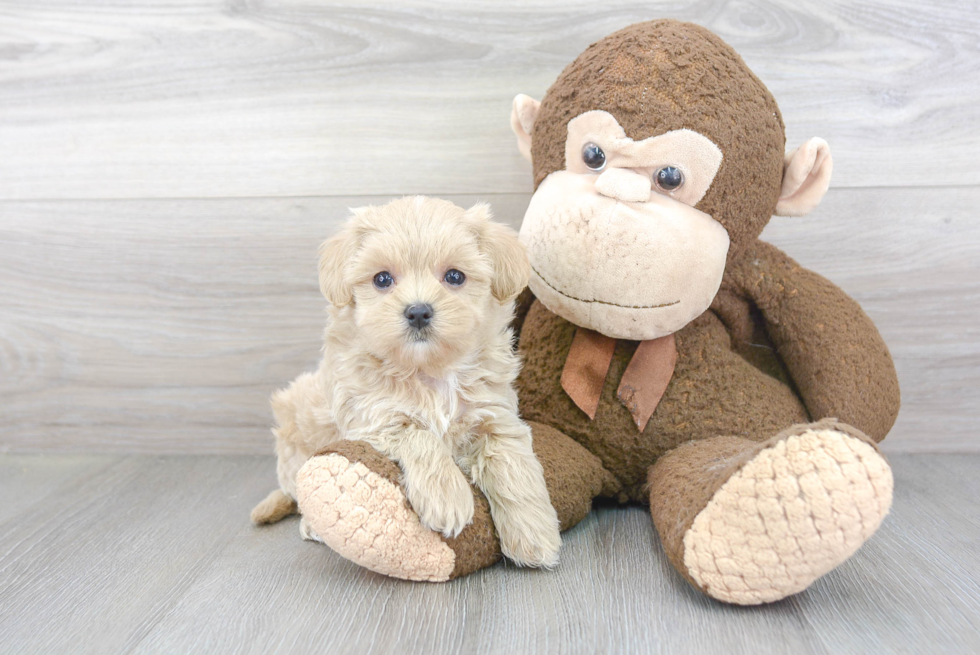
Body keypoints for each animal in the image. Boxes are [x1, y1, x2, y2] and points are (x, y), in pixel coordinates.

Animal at [251, 195, 560, 568]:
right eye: (382, 279)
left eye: (454, 276)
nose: (418, 312)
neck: (427, 370)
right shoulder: (374, 416)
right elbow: (419, 435)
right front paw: (448, 497)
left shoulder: (494, 415)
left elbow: (514, 468)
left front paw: (535, 536)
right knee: (297, 491)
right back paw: (311, 524)